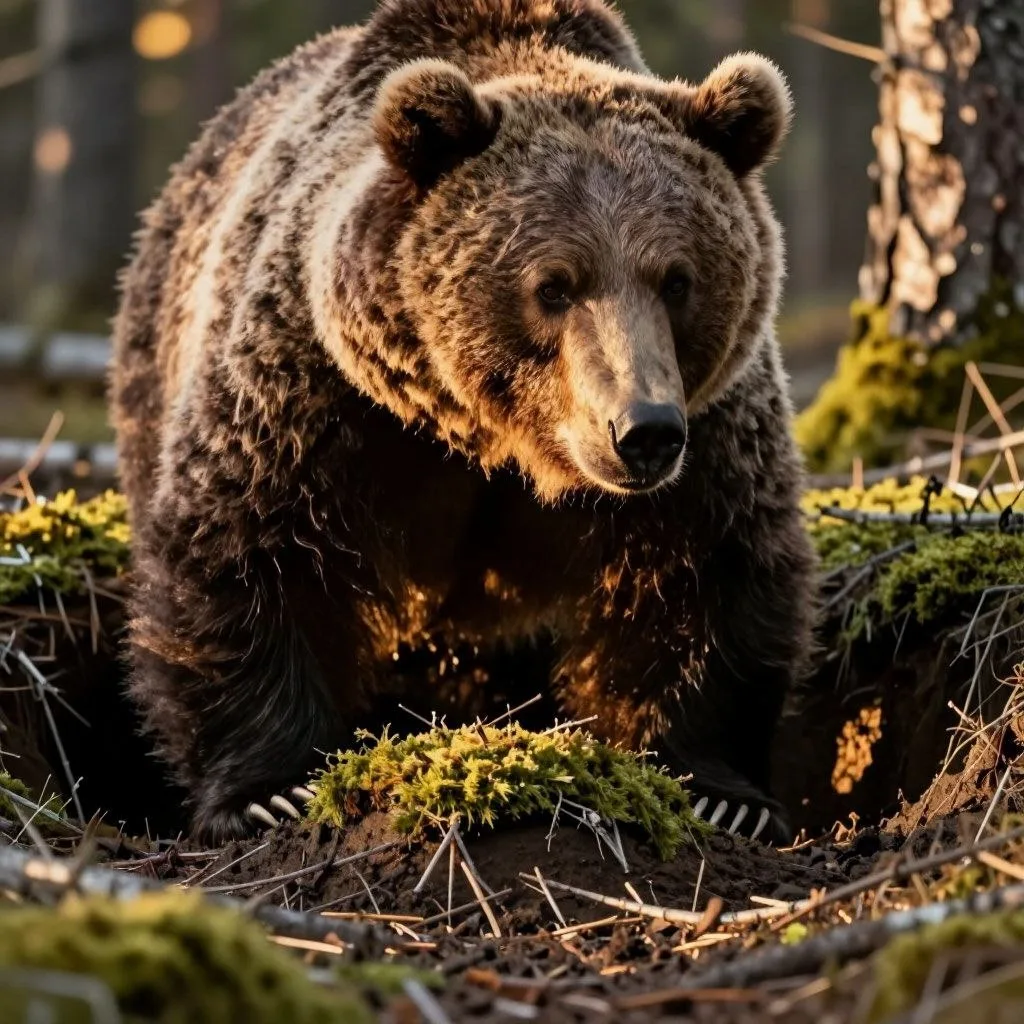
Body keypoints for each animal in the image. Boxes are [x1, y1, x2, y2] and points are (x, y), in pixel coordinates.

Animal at [110, 0, 817, 844]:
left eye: (677, 279)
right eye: (554, 285)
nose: (642, 431)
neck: (494, 441)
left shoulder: (710, 429)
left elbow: (707, 572)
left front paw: (720, 792)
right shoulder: (321, 398)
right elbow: (252, 551)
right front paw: (268, 792)